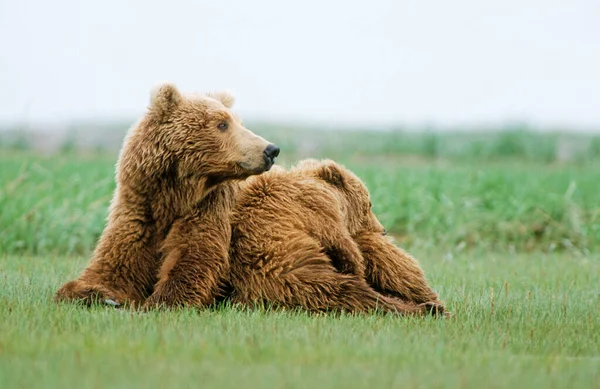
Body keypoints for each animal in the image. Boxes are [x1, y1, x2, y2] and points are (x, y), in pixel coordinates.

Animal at [55, 82, 280, 306]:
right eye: (222, 124)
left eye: (239, 122)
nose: (271, 150)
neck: (171, 196)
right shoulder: (139, 209)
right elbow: (116, 265)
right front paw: (94, 293)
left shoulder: (208, 206)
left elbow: (194, 259)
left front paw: (156, 301)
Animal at [225, 159, 446, 314]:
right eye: (369, 205)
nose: (382, 229)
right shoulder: (316, 208)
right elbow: (342, 243)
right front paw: (357, 264)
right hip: (300, 271)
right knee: (352, 292)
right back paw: (428, 308)